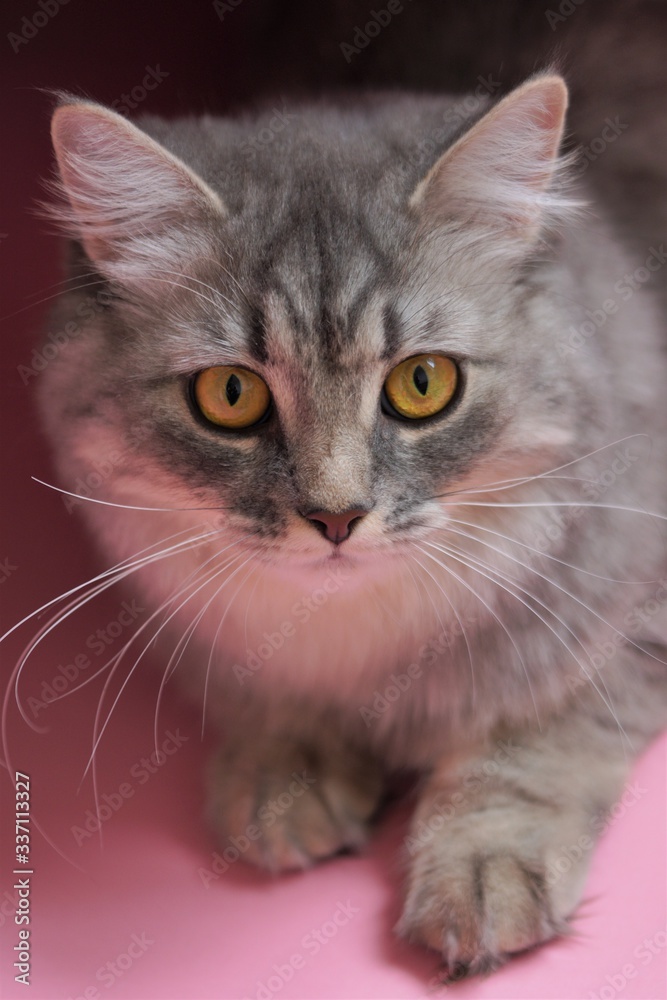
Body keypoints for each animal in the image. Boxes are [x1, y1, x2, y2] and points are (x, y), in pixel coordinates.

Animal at [37, 74, 667, 980]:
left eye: (422, 383)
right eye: (230, 395)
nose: (335, 517)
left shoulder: (630, 607)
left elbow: (529, 746)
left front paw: (477, 869)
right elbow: (268, 693)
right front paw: (286, 769)